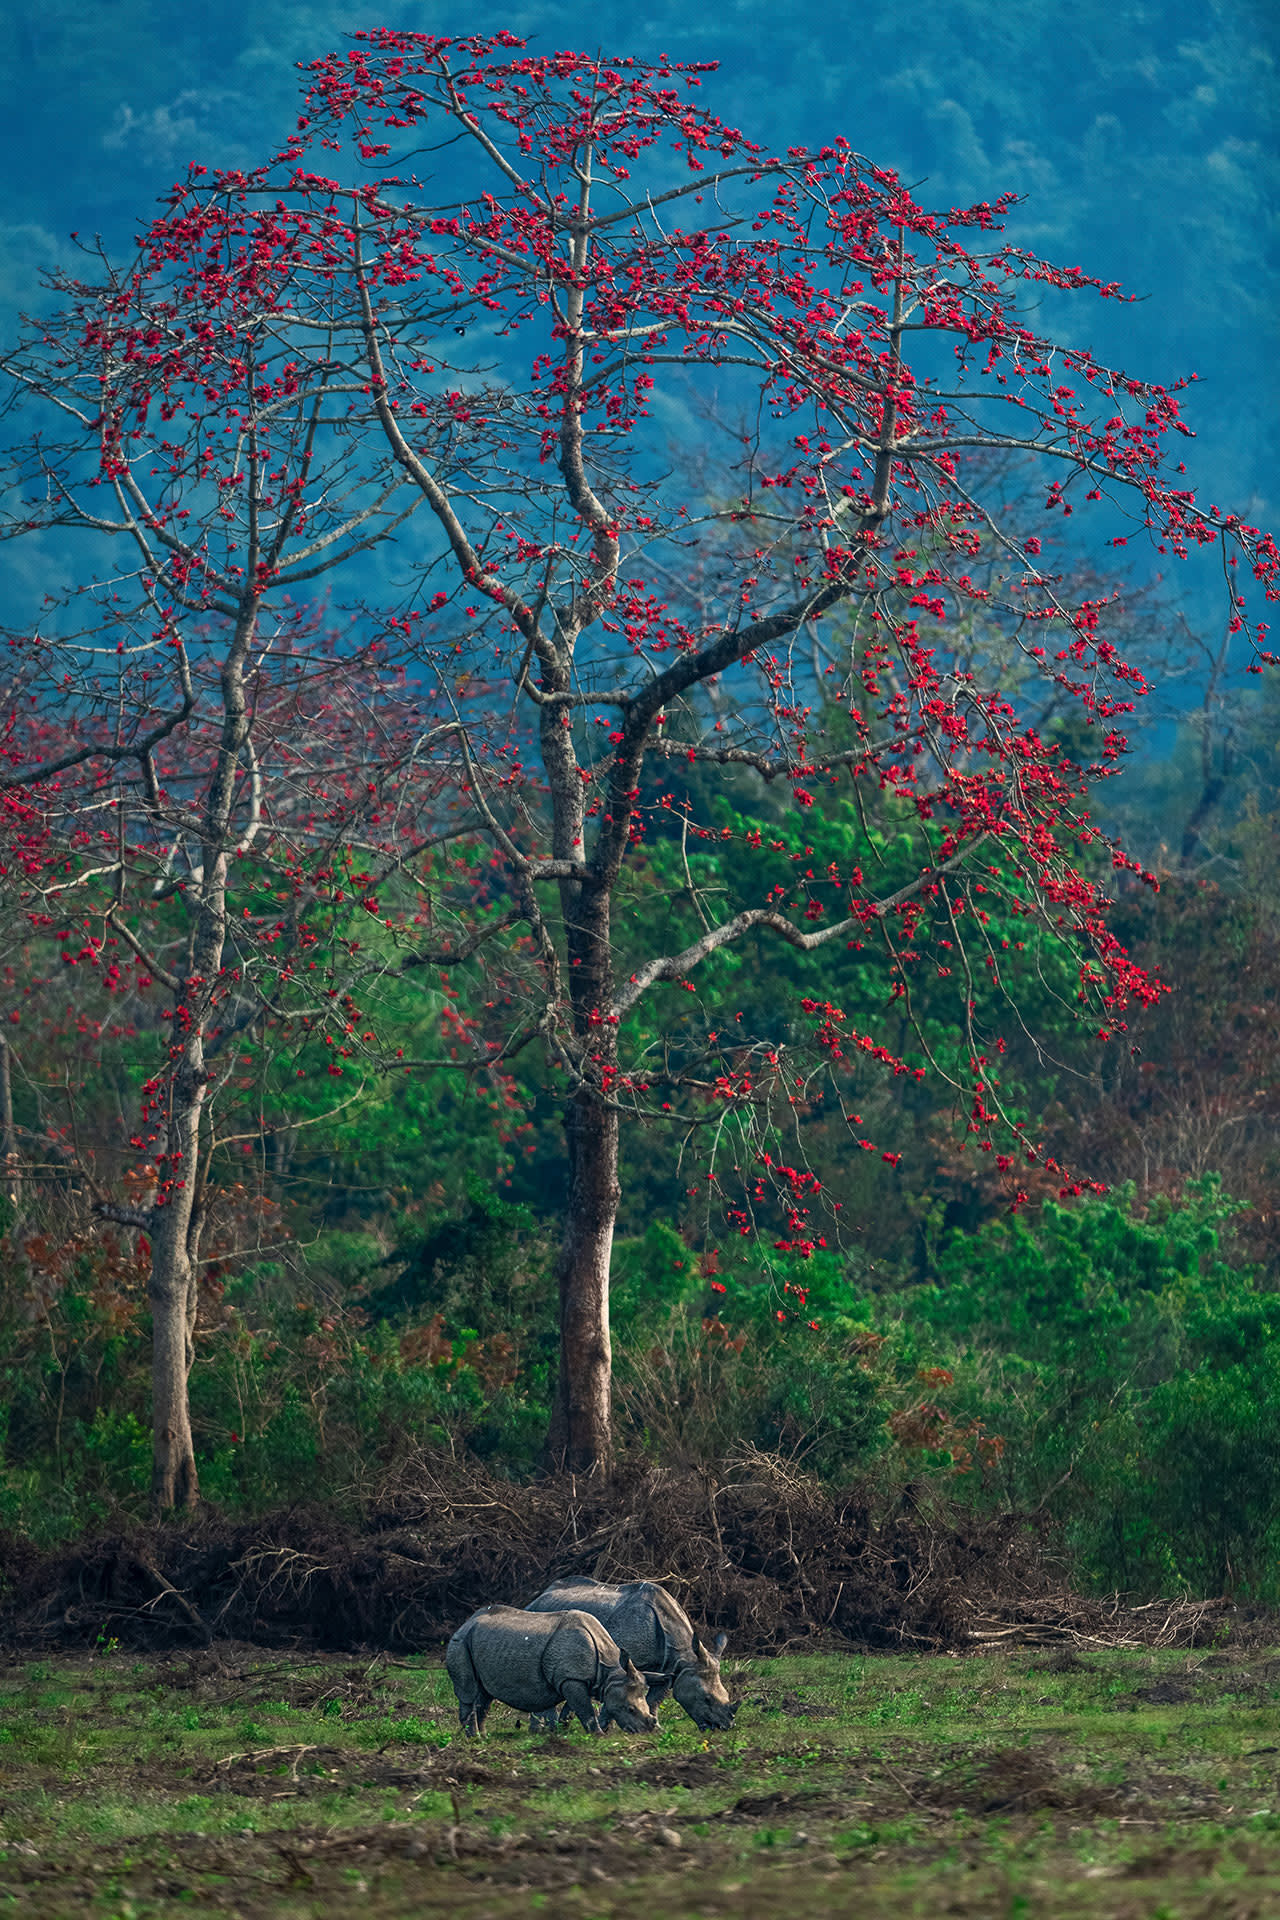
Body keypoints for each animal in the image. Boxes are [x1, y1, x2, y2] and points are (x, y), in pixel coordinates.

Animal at [444, 1604, 657, 1736]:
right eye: (630, 1709)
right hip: (460, 1643)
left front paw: (563, 1730)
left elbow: (573, 1708)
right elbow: (585, 1709)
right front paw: (598, 1735)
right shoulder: (571, 1678)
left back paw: (484, 1736)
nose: (645, 1732)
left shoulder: (575, 1679)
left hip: (480, 1642)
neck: (609, 1674)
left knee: (484, 1695)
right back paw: (474, 1738)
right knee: (469, 1693)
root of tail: (465, 1624)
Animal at [525, 1577, 738, 1731]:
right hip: (539, 1619)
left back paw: (558, 1726)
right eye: (706, 1698)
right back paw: (543, 1730)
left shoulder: (669, 1667)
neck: (684, 1656)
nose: (724, 1726)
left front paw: (656, 1727)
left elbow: (655, 1698)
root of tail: (538, 1597)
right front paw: (606, 1727)